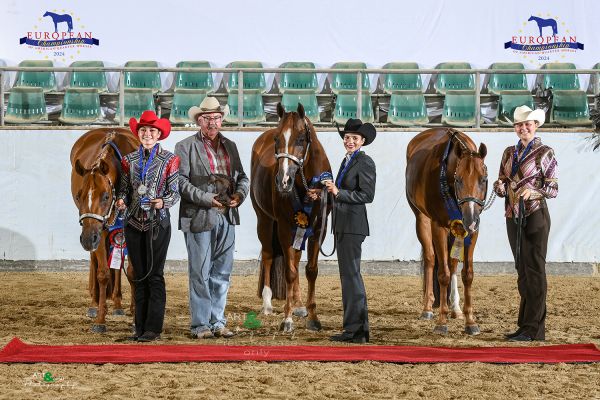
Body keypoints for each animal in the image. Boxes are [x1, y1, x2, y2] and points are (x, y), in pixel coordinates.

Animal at [69, 127, 138, 332]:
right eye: (79, 196)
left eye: (106, 196)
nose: (87, 239)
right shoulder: (99, 231)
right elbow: (103, 273)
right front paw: (100, 319)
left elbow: (132, 271)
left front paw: (135, 317)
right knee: (96, 262)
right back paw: (95, 304)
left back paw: (119, 304)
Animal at [250, 102, 330, 332]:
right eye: (278, 139)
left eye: (301, 139)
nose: (283, 181)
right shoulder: (285, 227)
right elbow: (290, 271)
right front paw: (286, 320)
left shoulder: (318, 229)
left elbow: (310, 270)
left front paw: (313, 317)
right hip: (265, 220)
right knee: (269, 254)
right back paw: (267, 303)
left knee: (294, 257)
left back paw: (299, 305)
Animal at [406, 128, 490, 334]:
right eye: (458, 179)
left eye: (483, 179)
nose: (470, 218)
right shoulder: (439, 226)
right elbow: (442, 273)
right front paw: (441, 322)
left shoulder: (472, 231)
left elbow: (467, 274)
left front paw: (470, 321)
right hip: (422, 219)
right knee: (430, 259)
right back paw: (428, 309)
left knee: (452, 263)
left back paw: (456, 308)